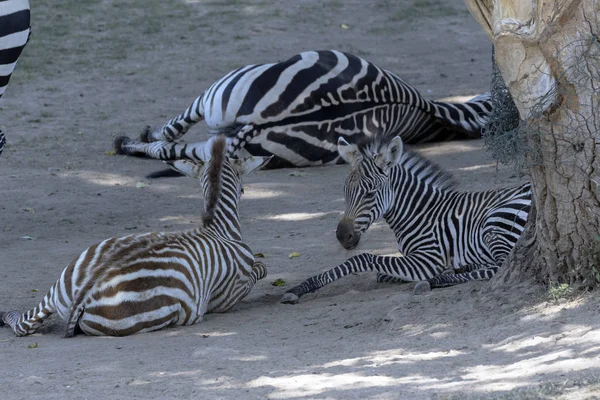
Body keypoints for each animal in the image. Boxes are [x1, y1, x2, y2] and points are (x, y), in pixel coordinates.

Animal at [0, 138, 270, 338]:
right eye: (243, 186)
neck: (217, 227)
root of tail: (84, 292)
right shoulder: (232, 294)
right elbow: (261, 267)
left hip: (62, 281)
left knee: (23, 324)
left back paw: (4, 315)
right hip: (153, 314)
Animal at [113, 48, 492, 173]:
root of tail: (262, 120)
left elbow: (171, 129)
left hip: (220, 90)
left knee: (171, 135)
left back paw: (126, 143)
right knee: (175, 147)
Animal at [280, 134, 528, 304]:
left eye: (369, 194)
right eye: (345, 192)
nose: (343, 236)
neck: (421, 212)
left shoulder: (428, 259)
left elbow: (361, 259)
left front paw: (300, 288)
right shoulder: (412, 260)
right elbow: (381, 274)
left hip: (495, 223)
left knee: (499, 266)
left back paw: (435, 281)